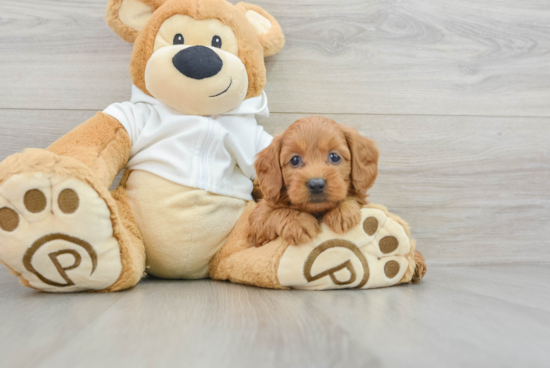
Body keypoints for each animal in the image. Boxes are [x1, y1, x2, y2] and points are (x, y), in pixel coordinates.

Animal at [250, 116, 380, 246]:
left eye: (334, 157)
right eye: (295, 160)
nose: (316, 185)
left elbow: (354, 197)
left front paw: (342, 210)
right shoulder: (257, 221)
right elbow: (276, 213)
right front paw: (298, 221)